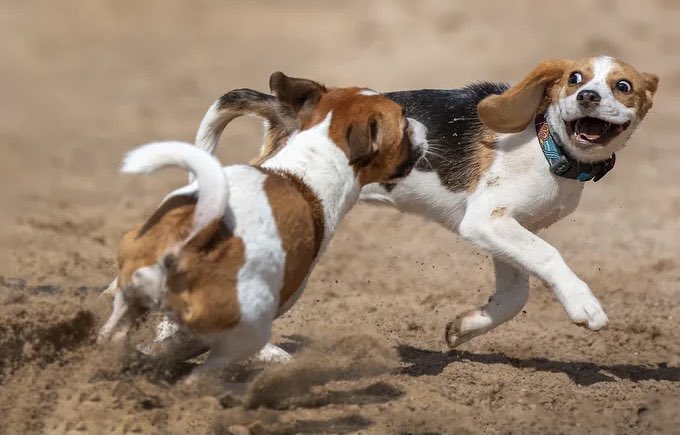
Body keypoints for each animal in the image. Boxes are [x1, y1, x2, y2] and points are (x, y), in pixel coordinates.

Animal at [97, 72, 428, 378]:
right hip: (246, 326)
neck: (306, 167)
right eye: (403, 121)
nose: (425, 126)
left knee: (113, 332)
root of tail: (197, 233)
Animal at [193, 56, 658, 349]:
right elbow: (548, 256)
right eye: (575, 78)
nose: (588, 97)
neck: (548, 144)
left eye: (623, 86)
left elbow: (514, 296)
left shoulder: (506, 230)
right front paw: (585, 305)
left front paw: (464, 328)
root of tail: (286, 110)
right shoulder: (485, 222)